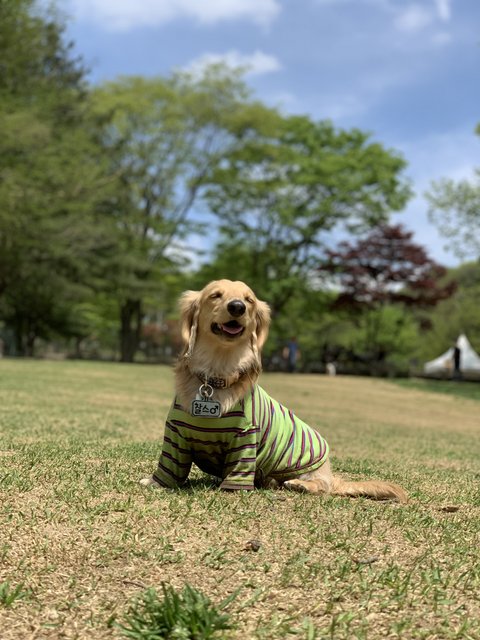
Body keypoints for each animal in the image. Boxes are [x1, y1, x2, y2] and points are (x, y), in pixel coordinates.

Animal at [141, 279, 407, 502]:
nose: (237, 307)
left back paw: (299, 484)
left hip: (310, 467)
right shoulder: (175, 434)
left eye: (249, 300)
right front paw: (155, 483)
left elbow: (238, 473)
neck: (216, 376)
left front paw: (229, 491)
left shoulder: (246, 438)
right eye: (215, 295)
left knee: (323, 486)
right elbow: (169, 468)